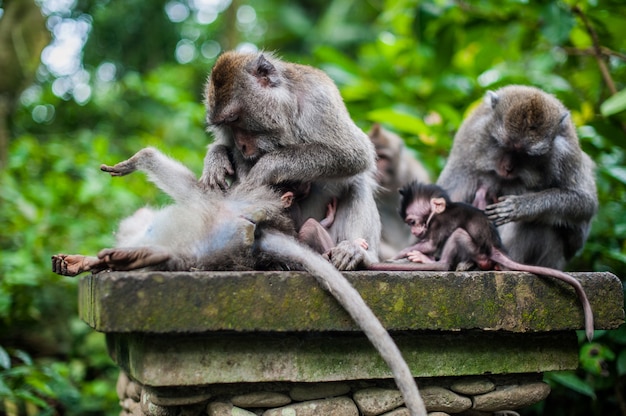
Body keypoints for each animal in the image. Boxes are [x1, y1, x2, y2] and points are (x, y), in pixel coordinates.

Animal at [51, 149, 426, 416]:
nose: (133, 229)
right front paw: (85, 262)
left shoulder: (204, 206)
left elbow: (188, 187)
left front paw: (136, 162)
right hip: (217, 239)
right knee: (181, 254)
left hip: (229, 210)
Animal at [200, 51, 378, 270]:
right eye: (225, 124)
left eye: (234, 118)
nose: (241, 145)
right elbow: (228, 150)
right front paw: (216, 158)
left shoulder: (319, 100)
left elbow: (354, 153)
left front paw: (265, 168)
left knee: (357, 181)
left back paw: (358, 252)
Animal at [370, 182, 596, 342]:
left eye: (412, 221)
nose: (415, 231)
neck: (443, 210)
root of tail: (494, 248)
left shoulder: (439, 222)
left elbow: (431, 244)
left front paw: (397, 256)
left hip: (476, 250)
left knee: (456, 238)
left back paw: (433, 262)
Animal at [434, 86, 596, 272]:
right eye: (505, 146)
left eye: (525, 155)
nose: (508, 168)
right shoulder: (470, 137)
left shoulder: (566, 153)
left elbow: (584, 203)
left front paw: (522, 206)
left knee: (540, 224)